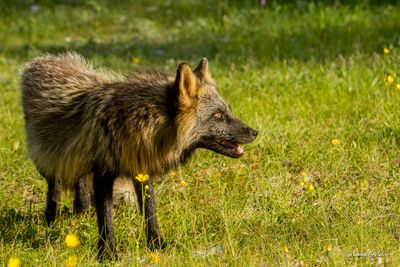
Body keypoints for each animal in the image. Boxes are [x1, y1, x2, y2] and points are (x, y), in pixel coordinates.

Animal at [20, 52, 258, 262]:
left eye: (227, 111)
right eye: (218, 116)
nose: (255, 132)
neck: (143, 123)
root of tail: (39, 61)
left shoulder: (140, 167)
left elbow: (150, 210)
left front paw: (156, 244)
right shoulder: (103, 173)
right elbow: (106, 219)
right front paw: (107, 254)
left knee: (80, 183)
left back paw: (81, 211)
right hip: (48, 161)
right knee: (55, 187)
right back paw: (51, 220)